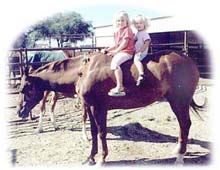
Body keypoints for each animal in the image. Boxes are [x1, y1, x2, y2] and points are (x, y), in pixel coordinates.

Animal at [77, 50, 205, 165]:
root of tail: (188, 60)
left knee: (185, 124)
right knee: (182, 125)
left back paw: (179, 157)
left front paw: (102, 159)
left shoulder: (99, 108)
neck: (91, 70)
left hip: (179, 102)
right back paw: (178, 151)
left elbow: (102, 133)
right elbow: (93, 132)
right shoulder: (90, 107)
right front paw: (90, 158)